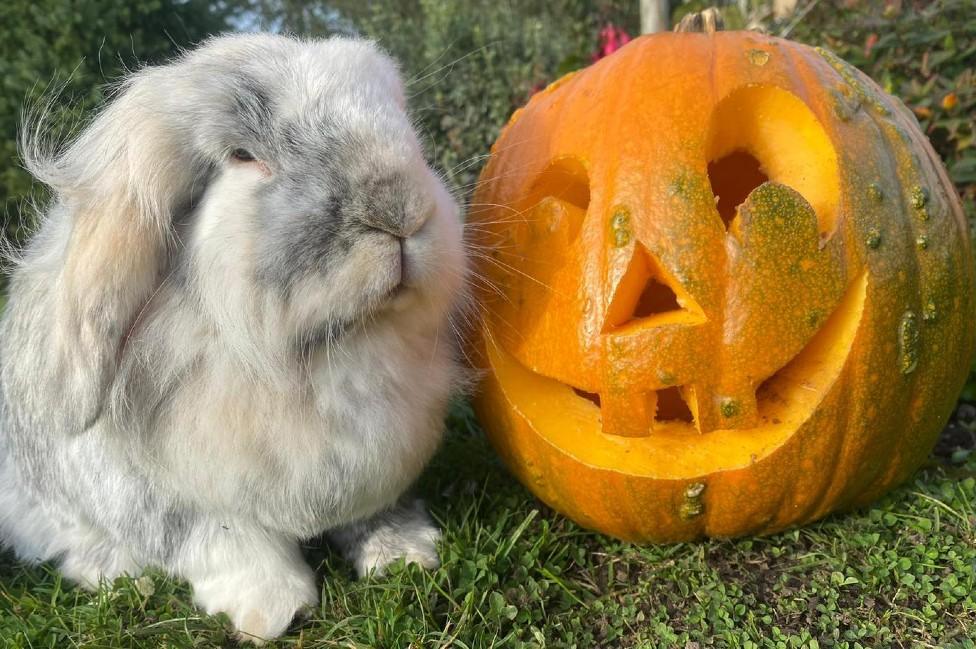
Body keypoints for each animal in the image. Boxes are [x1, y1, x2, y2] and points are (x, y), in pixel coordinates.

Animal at [0, 33, 468, 640]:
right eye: (243, 156)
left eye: (401, 121)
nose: (401, 210)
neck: (324, 354)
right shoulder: (167, 497)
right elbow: (222, 542)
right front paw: (272, 611)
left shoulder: (381, 461)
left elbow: (377, 511)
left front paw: (405, 557)